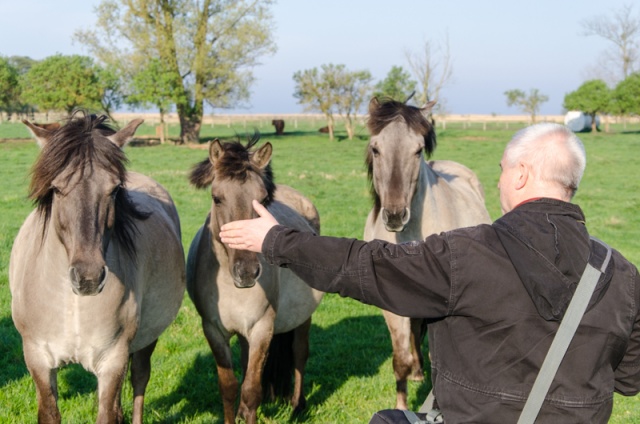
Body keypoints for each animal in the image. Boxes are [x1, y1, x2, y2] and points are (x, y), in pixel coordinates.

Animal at [10, 112, 185, 424]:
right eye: (56, 188)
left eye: (114, 190)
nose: (88, 278)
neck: (72, 305)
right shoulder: (38, 359)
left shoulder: (112, 361)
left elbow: (109, 410)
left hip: (146, 339)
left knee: (140, 379)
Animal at [188, 136, 322, 424]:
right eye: (217, 198)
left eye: (262, 200)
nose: (246, 271)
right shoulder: (214, 330)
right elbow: (228, 387)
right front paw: (235, 411)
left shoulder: (262, 328)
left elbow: (251, 391)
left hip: (303, 317)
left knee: (299, 353)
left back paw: (298, 406)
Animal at [364, 97, 490, 410]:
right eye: (376, 148)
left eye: (418, 149)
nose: (395, 215)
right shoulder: (390, 307)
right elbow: (400, 359)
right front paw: (401, 407)